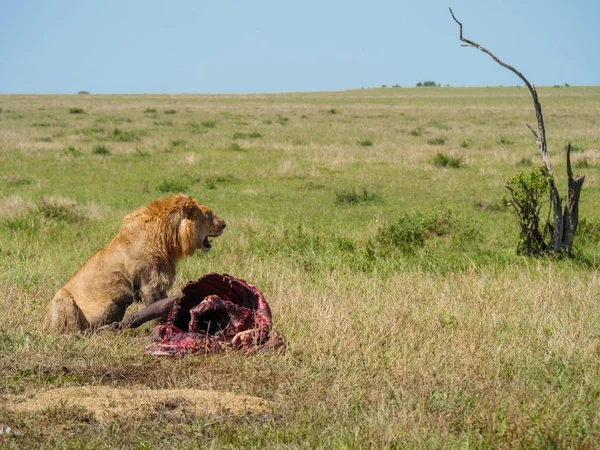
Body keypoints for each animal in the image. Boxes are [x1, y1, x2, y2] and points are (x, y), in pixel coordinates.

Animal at [45, 195, 226, 332]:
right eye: (209, 213)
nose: (224, 224)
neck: (167, 239)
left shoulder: (160, 280)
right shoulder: (149, 282)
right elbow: (156, 310)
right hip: (62, 296)